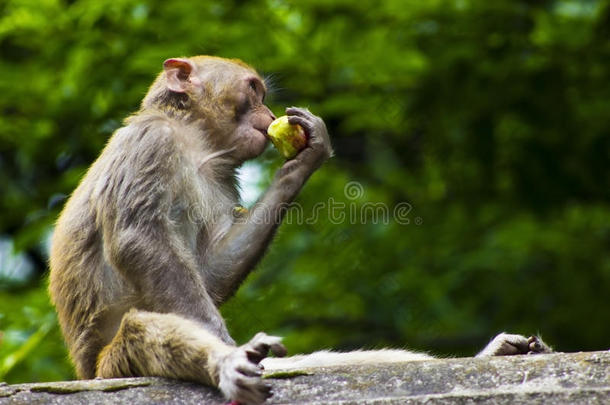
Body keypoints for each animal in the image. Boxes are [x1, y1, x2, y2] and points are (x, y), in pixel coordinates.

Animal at [48, 54, 552, 404]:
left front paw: (306, 159)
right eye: (253, 90)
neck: (194, 141)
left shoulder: (221, 180)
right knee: (138, 330)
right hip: (110, 368)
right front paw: (225, 344)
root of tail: (84, 370)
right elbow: (138, 239)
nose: (267, 112)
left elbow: (211, 272)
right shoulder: (150, 143)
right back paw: (228, 363)